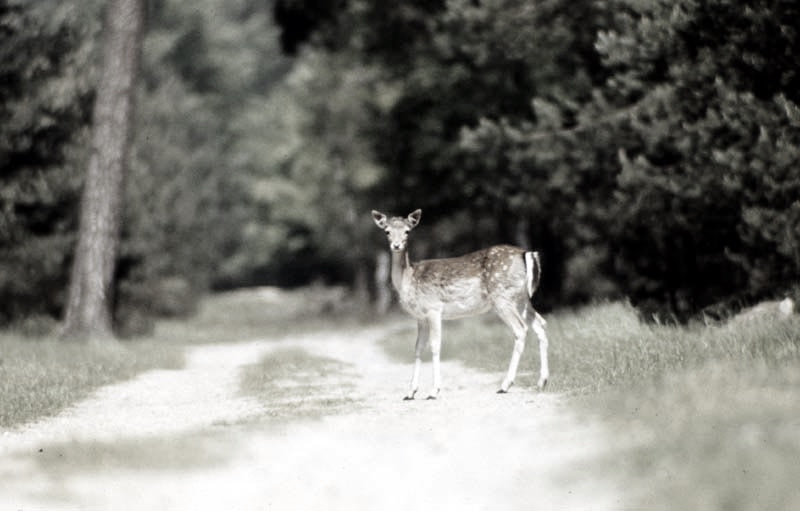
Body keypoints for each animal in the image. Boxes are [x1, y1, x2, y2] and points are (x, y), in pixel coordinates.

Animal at [374, 208, 552, 400]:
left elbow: (435, 346)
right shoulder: (420, 317)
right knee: (540, 323)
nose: (396, 245)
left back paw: (505, 385)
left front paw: (433, 391)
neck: (409, 279)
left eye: (407, 231)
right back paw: (542, 381)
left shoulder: (433, 308)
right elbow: (418, 348)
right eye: (387, 231)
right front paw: (410, 392)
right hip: (521, 299)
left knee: (520, 329)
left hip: (502, 297)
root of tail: (526, 254)